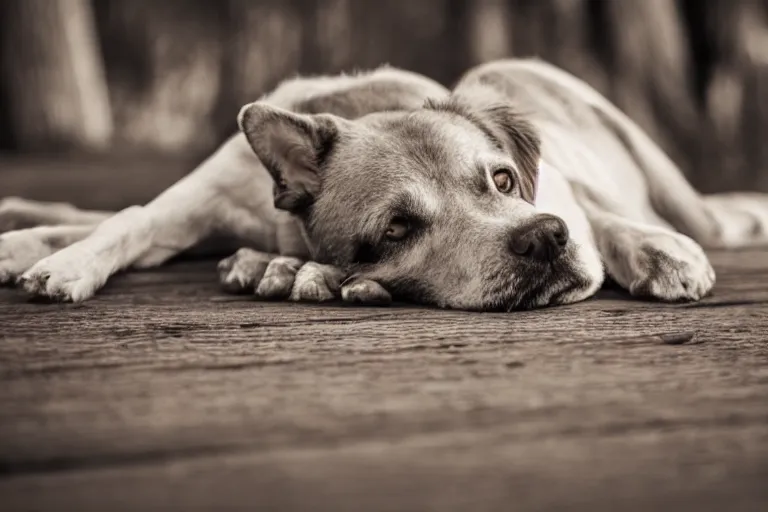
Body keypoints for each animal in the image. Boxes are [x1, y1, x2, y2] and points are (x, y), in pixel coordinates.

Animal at [1, 58, 768, 310]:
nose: (541, 240)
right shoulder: (197, 199)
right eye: (397, 228)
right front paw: (64, 263)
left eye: (503, 180)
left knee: (705, 215)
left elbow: (599, 219)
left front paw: (654, 251)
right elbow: (128, 218)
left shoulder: (566, 192)